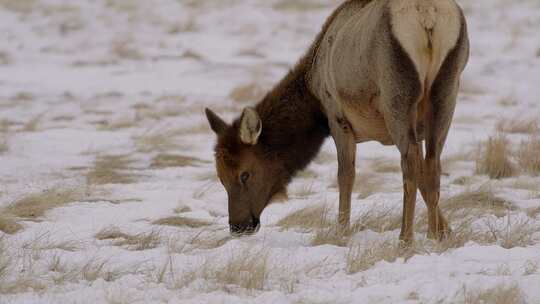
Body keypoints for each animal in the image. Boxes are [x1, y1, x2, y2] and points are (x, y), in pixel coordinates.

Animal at [205, 0, 466, 243]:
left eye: (244, 174)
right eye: (221, 177)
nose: (238, 226)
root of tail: (427, 15)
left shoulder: (337, 117)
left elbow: (345, 176)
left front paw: (341, 231)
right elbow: (424, 177)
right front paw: (445, 231)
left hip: (397, 91)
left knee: (409, 162)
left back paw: (405, 239)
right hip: (447, 88)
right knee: (432, 163)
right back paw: (430, 235)